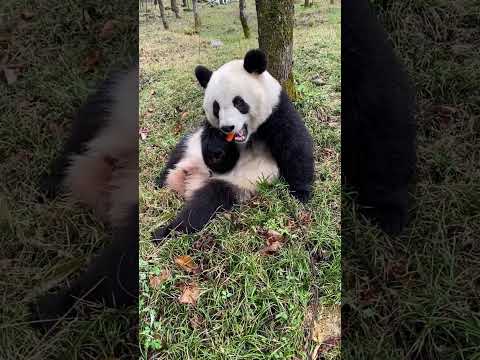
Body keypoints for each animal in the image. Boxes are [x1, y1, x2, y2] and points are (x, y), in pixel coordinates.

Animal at [152, 47, 314, 239]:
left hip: (236, 184)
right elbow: (216, 151)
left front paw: (301, 193)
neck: (248, 137)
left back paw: (167, 231)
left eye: (239, 102)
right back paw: (159, 186)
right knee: (175, 157)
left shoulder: (276, 111)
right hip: (190, 146)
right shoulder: (208, 129)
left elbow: (294, 146)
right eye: (216, 107)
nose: (228, 127)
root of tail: (190, 182)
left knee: (204, 205)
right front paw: (217, 149)